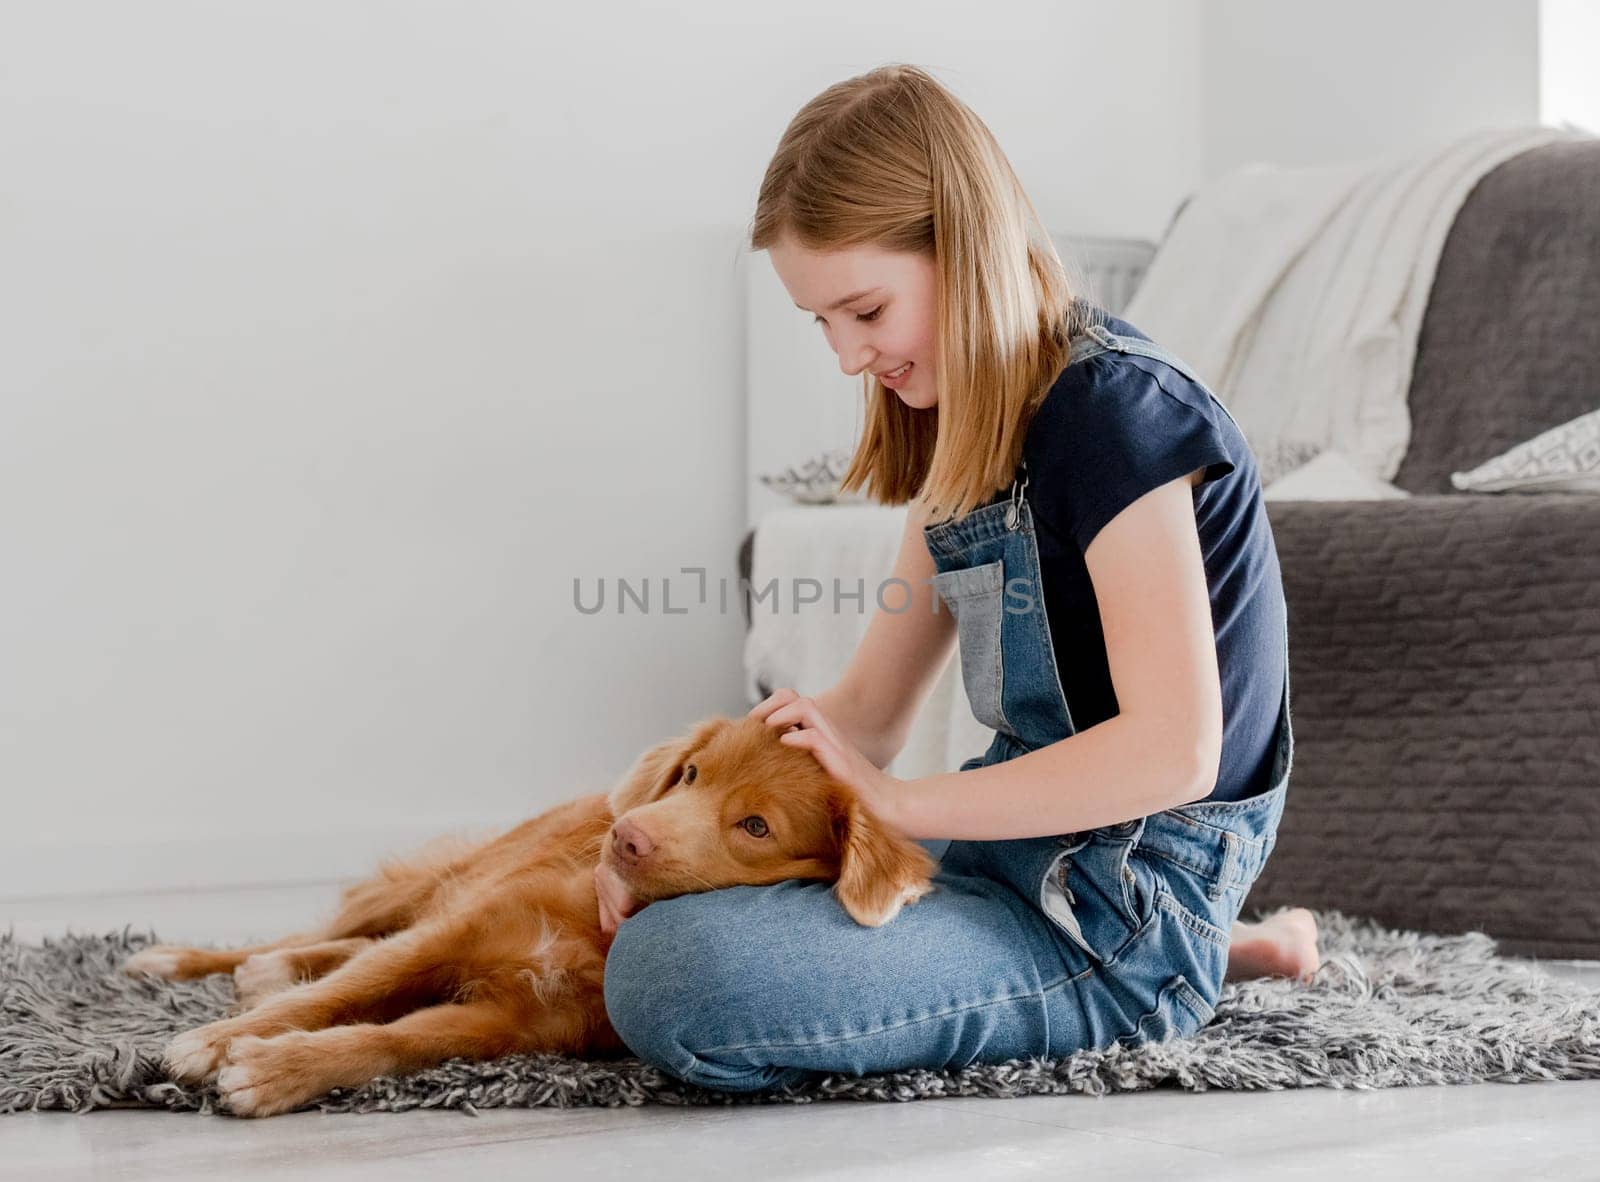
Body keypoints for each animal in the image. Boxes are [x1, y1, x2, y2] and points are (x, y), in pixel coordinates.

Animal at [121, 716, 934, 1113]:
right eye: (692, 775)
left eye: (755, 827)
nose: (625, 835)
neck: (592, 929)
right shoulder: (450, 933)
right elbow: (342, 994)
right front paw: (215, 1041)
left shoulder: (508, 1024)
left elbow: (386, 1040)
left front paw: (278, 1070)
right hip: (434, 882)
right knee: (331, 936)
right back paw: (183, 961)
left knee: (336, 948)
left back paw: (267, 972)